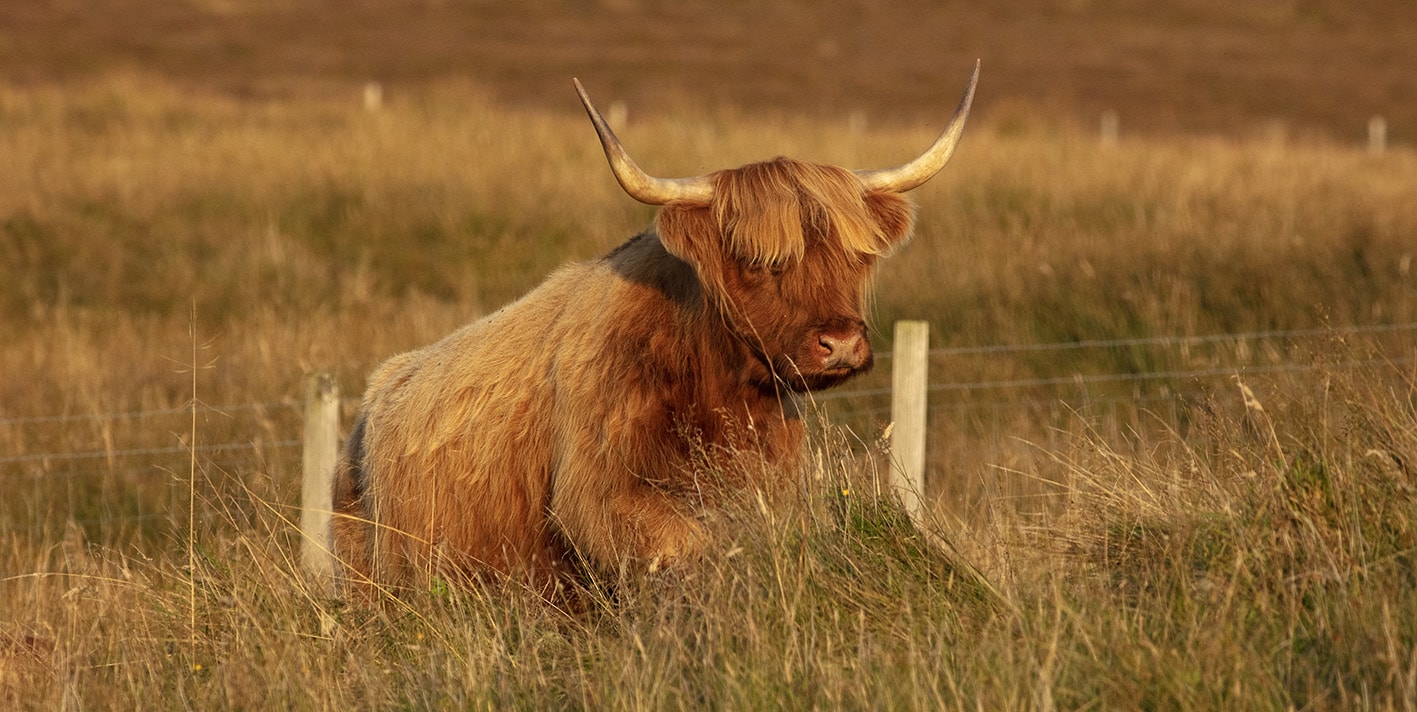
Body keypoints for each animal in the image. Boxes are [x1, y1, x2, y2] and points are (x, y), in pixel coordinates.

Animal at [330, 62, 980, 595]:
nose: (840, 343)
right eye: (755, 260)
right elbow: (689, 545)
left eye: (856, 257)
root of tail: (370, 402)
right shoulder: (599, 494)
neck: (720, 392)